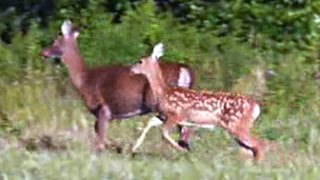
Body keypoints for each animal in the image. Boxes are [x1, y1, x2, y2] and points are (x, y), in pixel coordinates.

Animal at [40, 20, 195, 151]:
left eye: (56, 41)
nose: (43, 52)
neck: (84, 80)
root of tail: (183, 69)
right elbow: (98, 132)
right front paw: (116, 147)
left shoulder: (103, 109)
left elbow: (99, 136)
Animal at [130, 43, 268, 160]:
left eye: (140, 61)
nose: (131, 69)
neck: (164, 92)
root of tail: (256, 106)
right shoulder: (163, 116)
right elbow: (150, 123)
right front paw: (134, 148)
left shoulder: (177, 115)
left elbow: (164, 133)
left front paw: (183, 150)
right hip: (238, 127)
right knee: (250, 149)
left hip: (237, 126)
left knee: (261, 144)